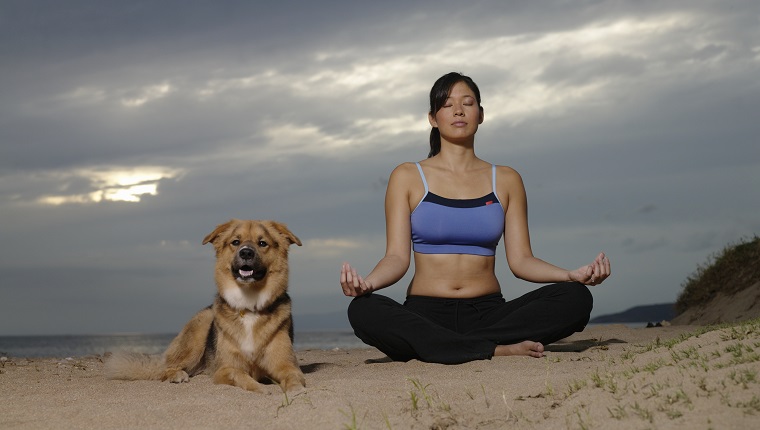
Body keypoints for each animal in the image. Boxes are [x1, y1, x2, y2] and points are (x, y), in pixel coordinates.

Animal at [106, 218, 306, 394]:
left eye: (262, 243)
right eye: (235, 242)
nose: (246, 253)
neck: (249, 306)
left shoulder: (286, 365)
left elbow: (293, 376)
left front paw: (295, 390)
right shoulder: (225, 369)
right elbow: (240, 375)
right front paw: (261, 388)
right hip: (199, 329)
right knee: (167, 368)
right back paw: (177, 374)